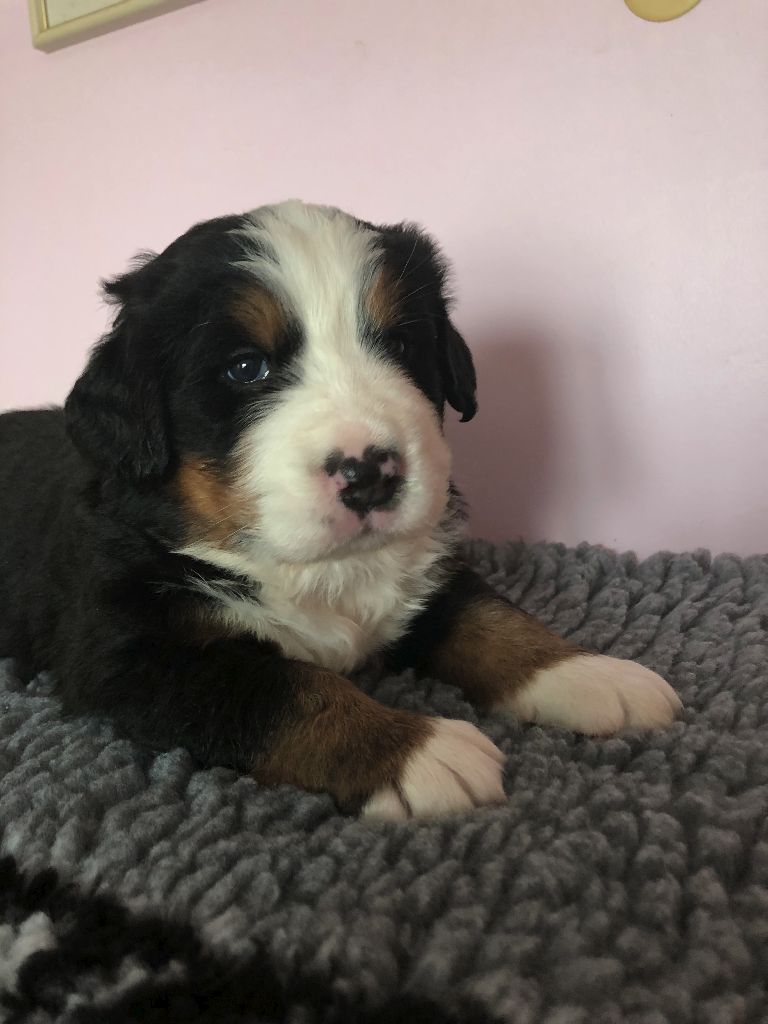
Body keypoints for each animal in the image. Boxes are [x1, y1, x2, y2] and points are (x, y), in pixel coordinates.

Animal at [0, 201, 681, 820]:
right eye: (245, 368)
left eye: (401, 343)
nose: (371, 472)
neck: (319, 568)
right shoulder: (129, 652)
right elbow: (285, 689)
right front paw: (419, 751)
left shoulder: (428, 575)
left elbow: (492, 618)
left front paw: (589, 674)